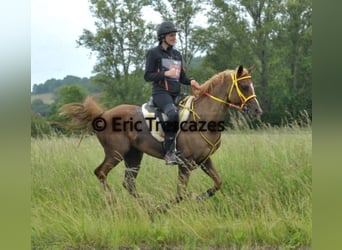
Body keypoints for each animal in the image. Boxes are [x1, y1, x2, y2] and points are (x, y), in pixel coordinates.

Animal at [60, 66, 262, 203]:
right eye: (245, 86)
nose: (257, 111)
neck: (204, 117)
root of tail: (102, 114)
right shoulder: (185, 164)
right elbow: (180, 194)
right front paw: (167, 207)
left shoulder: (204, 160)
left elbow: (218, 182)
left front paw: (199, 198)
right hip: (116, 153)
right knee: (101, 172)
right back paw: (114, 202)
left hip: (133, 155)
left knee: (129, 183)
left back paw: (146, 205)